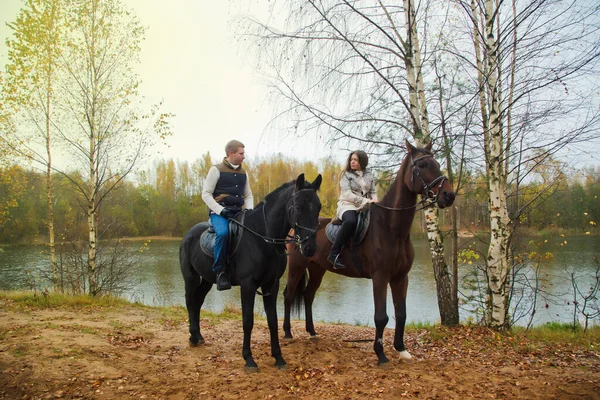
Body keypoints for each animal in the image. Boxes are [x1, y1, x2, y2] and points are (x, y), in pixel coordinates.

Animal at [282, 141, 454, 366]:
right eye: (422, 165)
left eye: (437, 164)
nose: (449, 195)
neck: (391, 227)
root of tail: (295, 229)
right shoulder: (380, 276)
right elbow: (381, 317)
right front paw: (380, 354)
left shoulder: (401, 277)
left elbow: (401, 314)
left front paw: (401, 349)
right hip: (296, 266)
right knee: (288, 295)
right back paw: (287, 332)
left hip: (318, 269)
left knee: (309, 296)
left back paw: (312, 332)